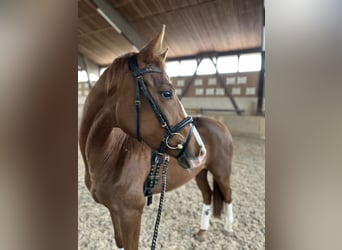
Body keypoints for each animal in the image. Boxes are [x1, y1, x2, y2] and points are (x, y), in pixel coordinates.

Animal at [79, 26, 234, 249]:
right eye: (167, 93)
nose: (199, 150)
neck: (112, 155)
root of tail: (219, 123)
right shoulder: (114, 212)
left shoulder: (131, 214)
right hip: (200, 172)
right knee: (207, 196)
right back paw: (202, 231)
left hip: (222, 172)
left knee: (228, 196)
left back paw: (229, 229)